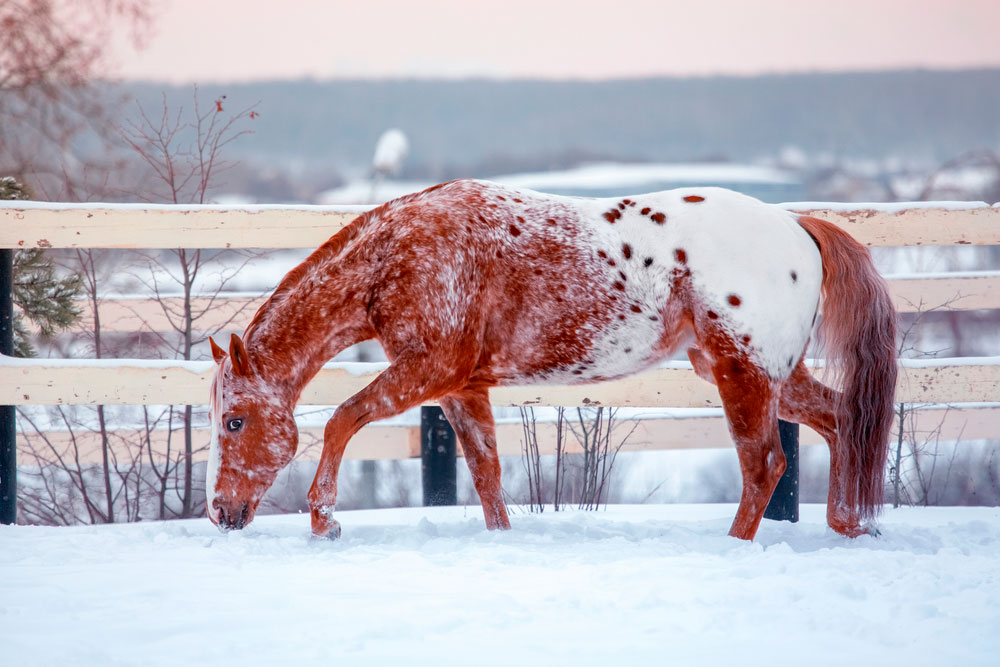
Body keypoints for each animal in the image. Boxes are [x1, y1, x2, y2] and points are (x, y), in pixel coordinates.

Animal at [207, 179, 896, 544]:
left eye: (234, 421)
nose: (220, 512)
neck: (399, 256)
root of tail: (798, 226)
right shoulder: (460, 387)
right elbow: (486, 471)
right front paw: (501, 538)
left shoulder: (427, 370)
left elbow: (341, 420)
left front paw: (323, 520)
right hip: (770, 376)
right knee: (841, 421)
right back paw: (848, 525)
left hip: (742, 373)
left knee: (765, 464)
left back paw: (737, 545)